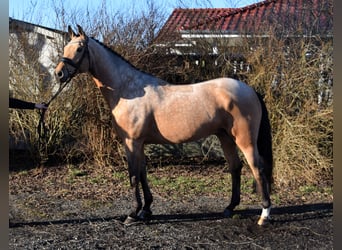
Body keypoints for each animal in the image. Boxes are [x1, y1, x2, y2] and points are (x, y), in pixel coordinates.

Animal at [54, 25, 274, 227]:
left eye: (79, 49)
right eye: (65, 47)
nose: (59, 74)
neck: (127, 89)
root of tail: (250, 90)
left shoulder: (131, 143)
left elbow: (133, 176)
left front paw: (132, 214)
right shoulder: (140, 144)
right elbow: (143, 175)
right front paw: (146, 210)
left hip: (245, 140)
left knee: (257, 168)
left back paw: (264, 215)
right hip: (225, 137)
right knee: (235, 167)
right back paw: (229, 208)